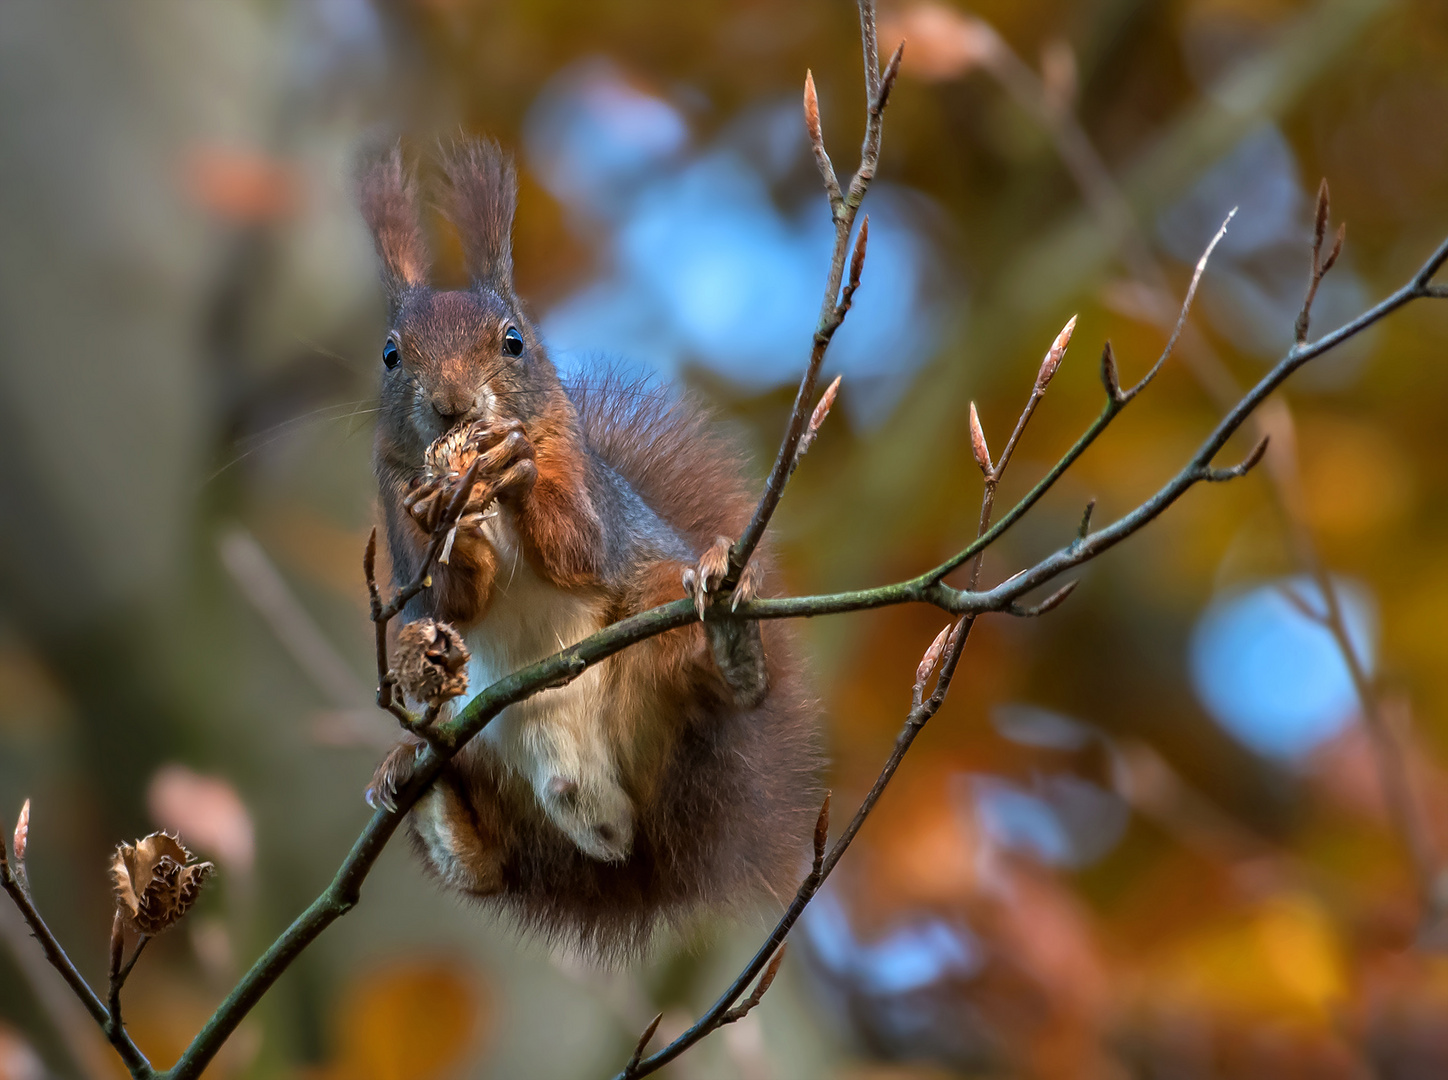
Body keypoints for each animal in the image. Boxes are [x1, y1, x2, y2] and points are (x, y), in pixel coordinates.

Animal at [357, 138, 822, 955]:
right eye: (390, 355)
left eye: (514, 341)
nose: (451, 405)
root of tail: (627, 845)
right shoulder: (394, 503)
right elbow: (447, 597)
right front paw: (451, 522)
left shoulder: (580, 479)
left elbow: (579, 547)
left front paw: (515, 470)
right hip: (479, 750)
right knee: (488, 867)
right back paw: (416, 780)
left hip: (657, 660)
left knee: (701, 672)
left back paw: (732, 644)